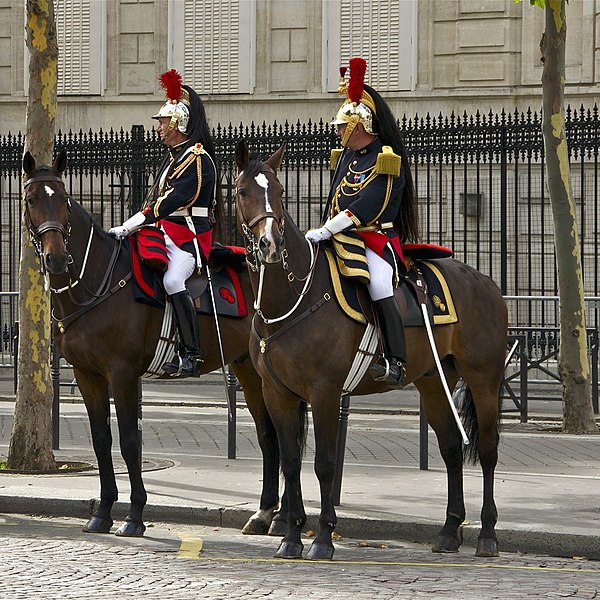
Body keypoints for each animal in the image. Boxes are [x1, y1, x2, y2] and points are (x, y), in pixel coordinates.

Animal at [22, 150, 288, 540]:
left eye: (63, 200)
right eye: (31, 200)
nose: (55, 257)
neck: (97, 282)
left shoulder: (123, 373)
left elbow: (130, 440)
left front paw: (134, 515)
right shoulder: (88, 375)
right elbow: (101, 440)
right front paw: (102, 512)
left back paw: (281, 518)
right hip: (247, 369)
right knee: (269, 433)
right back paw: (266, 514)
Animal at [233, 142, 506, 564]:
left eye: (279, 192)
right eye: (242, 191)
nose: (270, 245)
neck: (294, 296)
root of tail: (486, 282)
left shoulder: (324, 393)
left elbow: (325, 464)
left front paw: (323, 538)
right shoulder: (277, 393)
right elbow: (291, 461)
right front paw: (291, 538)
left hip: (483, 378)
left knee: (488, 449)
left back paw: (487, 535)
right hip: (435, 381)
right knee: (449, 448)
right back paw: (448, 532)